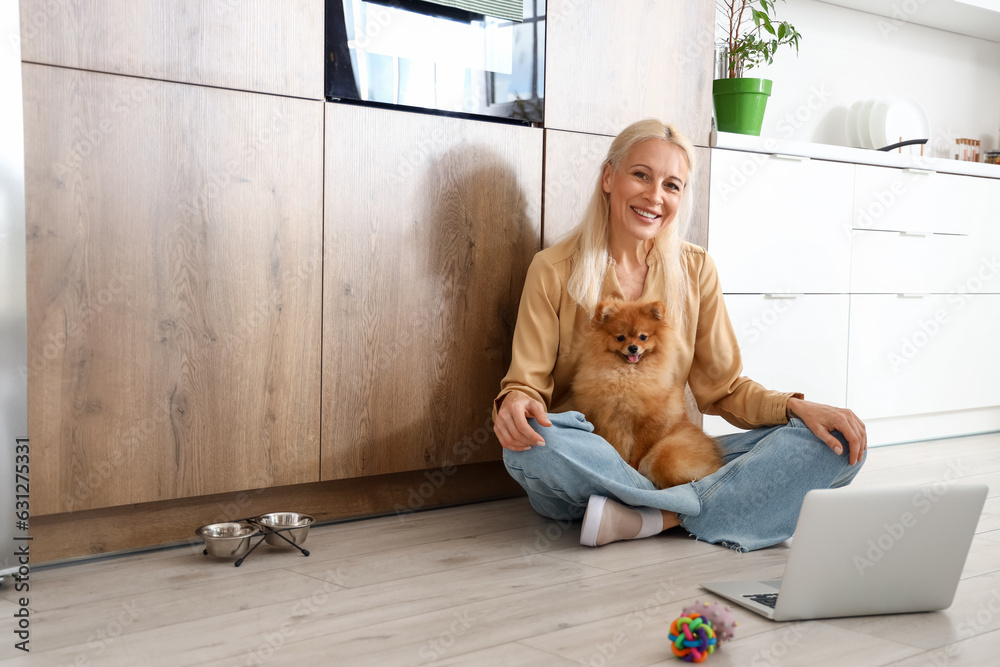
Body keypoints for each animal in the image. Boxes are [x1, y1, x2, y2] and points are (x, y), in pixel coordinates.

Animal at [572, 300, 728, 488]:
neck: (627, 377)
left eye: (643, 337)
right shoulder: (604, 421)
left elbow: (637, 454)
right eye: (620, 337)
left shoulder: (647, 425)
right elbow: (613, 449)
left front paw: (632, 468)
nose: (633, 348)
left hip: (666, 456)